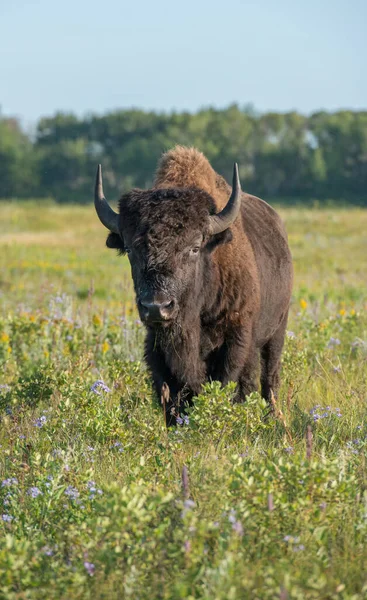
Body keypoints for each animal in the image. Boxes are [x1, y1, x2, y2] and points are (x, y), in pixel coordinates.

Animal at [94, 147, 294, 424]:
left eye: (195, 247)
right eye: (131, 250)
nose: (157, 307)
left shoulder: (236, 339)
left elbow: (227, 383)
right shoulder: (158, 347)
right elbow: (172, 392)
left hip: (276, 332)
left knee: (269, 378)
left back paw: (273, 417)